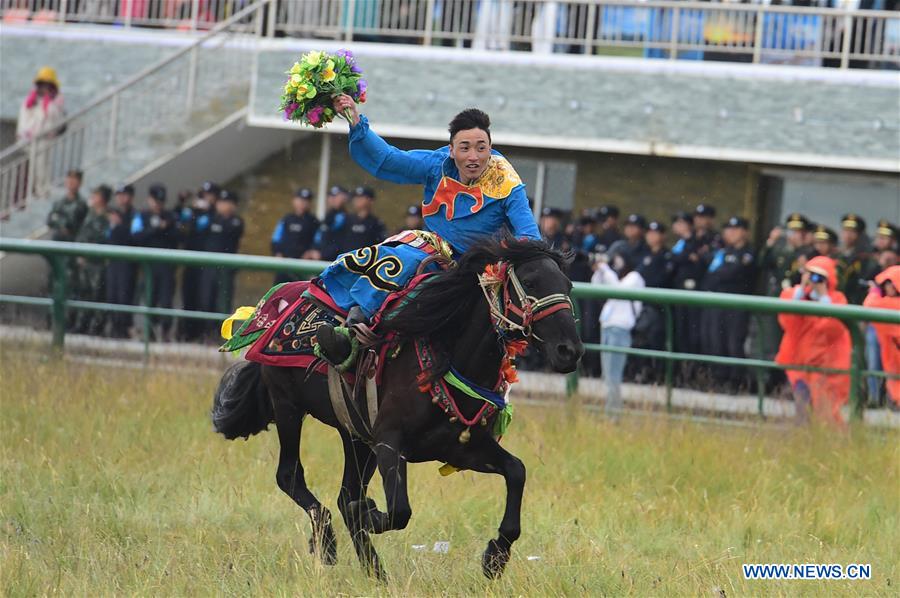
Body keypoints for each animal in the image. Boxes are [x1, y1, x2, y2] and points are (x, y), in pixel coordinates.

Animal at [211, 238, 584, 580]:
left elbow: (516, 471)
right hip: (288, 405)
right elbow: (399, 510)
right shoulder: (390, 443)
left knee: (345, 495)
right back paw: (329, 543)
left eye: (567, 286)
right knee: (291, 475)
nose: (570, 350)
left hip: (355, 435)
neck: (446, 354)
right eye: (531, 283)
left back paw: (374, 570)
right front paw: (369, 514)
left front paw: (495, 557)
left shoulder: (461, 447)